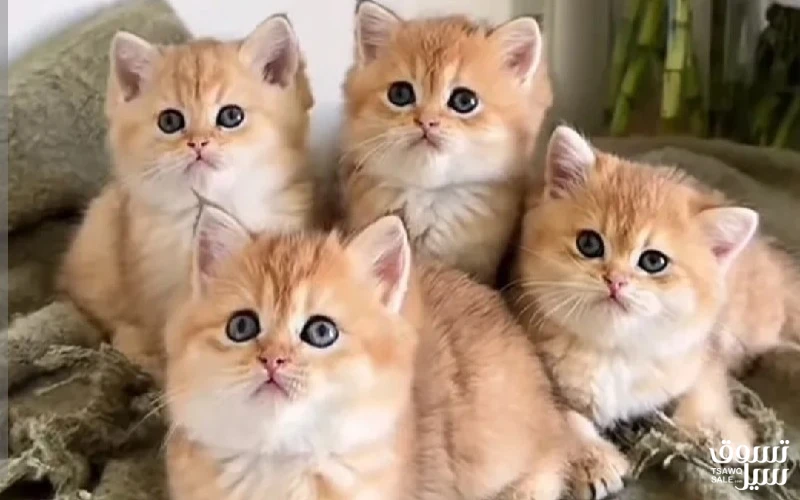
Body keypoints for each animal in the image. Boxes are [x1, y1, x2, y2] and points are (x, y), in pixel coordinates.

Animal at [510, 125, 800, 500]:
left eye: (653, 261)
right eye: (589, 244)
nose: (615, 281)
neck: (613, 351)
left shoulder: (701, 347)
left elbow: (706, 386)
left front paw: (719, 429)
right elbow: (565, 419)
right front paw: (593, 460)